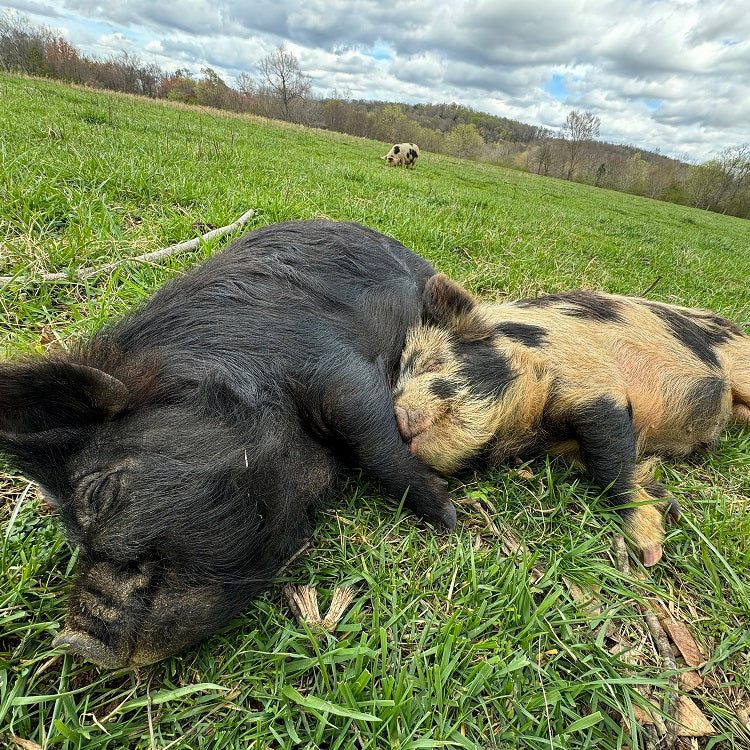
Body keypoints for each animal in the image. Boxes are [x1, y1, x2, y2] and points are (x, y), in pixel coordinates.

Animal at [0, 220, 456, 668]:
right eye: (72, 540)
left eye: (98, 494)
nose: (71, 640)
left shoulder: (335, 369)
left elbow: (374, 442)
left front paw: (449, 516)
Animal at [393, 274, 750, 566]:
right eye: (397, 384)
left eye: (433, 363)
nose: (396, 412)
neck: (540, 426)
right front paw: (670, 507)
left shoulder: (593, 382)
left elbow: (609, 464)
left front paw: (650, 551)